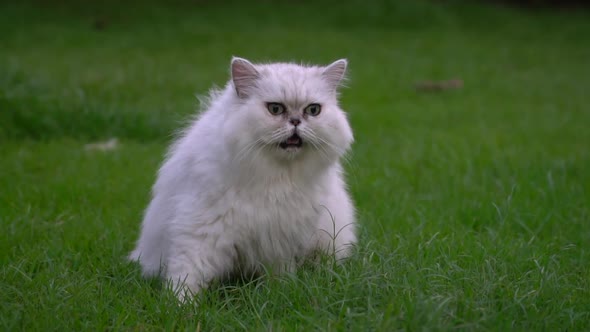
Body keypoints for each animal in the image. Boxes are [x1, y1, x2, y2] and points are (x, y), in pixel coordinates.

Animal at [130, 57, 358, 300]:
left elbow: (280, 275)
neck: (275, 177)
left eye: (313, 110)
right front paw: (178, 303)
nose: (296, 121)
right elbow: (188, 272)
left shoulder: (280, 238)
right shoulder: (201, 229)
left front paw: (280, 294)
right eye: (275, 109)